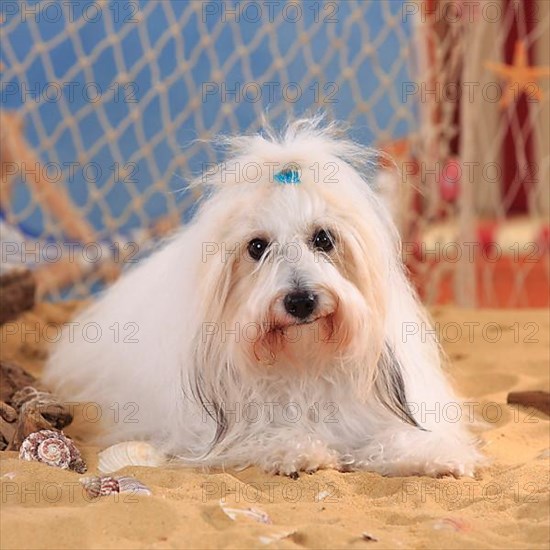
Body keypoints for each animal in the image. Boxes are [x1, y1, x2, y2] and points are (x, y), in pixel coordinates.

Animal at [45, 116, 486, 478]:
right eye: (257, 247)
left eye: (323, 239)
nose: (301, 301)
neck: (305, 361)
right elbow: (271, 433)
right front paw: (301, 450)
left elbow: (400, 435)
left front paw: (436, 455)